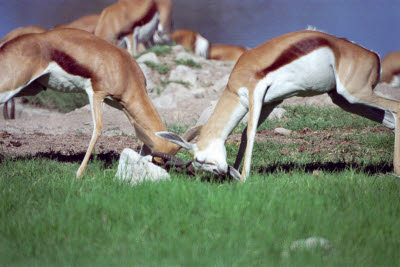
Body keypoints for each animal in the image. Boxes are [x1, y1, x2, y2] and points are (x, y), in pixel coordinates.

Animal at [0, 28, 200, 179]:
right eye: (158, 161)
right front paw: (78, 174)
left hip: (30, 88)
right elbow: (98, 129)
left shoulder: (122, 106)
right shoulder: (97, 94)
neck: (125, 70)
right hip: (11, 86)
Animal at [158, 30, 400, 183]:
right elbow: (244, 135)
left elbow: (251, 133)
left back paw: (396, 174)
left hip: (355, 93)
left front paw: (243, 178)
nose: (221, 172)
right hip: (344, 100)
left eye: (199, 160)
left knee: (396, 108)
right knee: (390, 119)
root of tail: (373, 56)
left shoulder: (255, 94)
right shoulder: (270, 102)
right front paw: (237, 173)